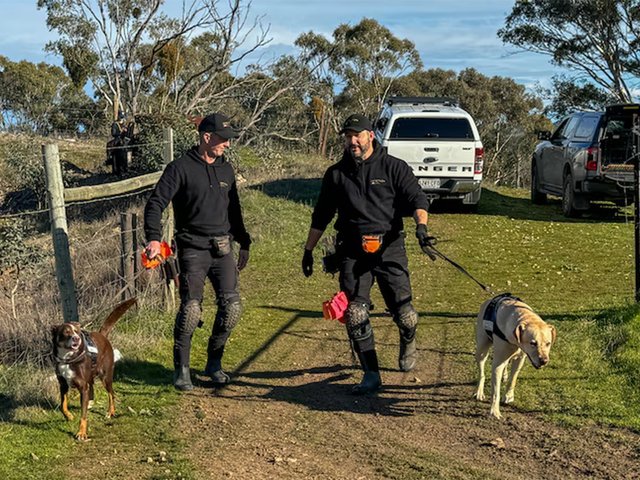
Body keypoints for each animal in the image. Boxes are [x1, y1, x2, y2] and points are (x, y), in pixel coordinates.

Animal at [52, 298, 136, 440]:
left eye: (77, 332)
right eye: (66, 332)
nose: (76, 338)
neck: (68, 359)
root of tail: (103, 336)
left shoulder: (82, 386)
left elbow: (83, 415)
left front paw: (81, 433)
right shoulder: (63, 384)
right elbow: (63, 406)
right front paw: (69, 416)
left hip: (106, 377)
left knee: (111, 394)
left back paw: (110, 412)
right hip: (91, 377)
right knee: (94, 390)